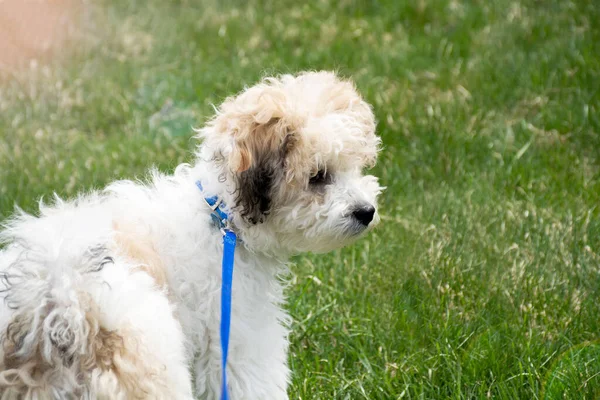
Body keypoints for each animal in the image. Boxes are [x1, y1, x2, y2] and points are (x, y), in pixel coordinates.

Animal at [0, 72, 382, 400]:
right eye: (318, 177)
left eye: (354, 167)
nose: (367, 212)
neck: (221, 217)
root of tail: (59, 306)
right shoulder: (235, 338)